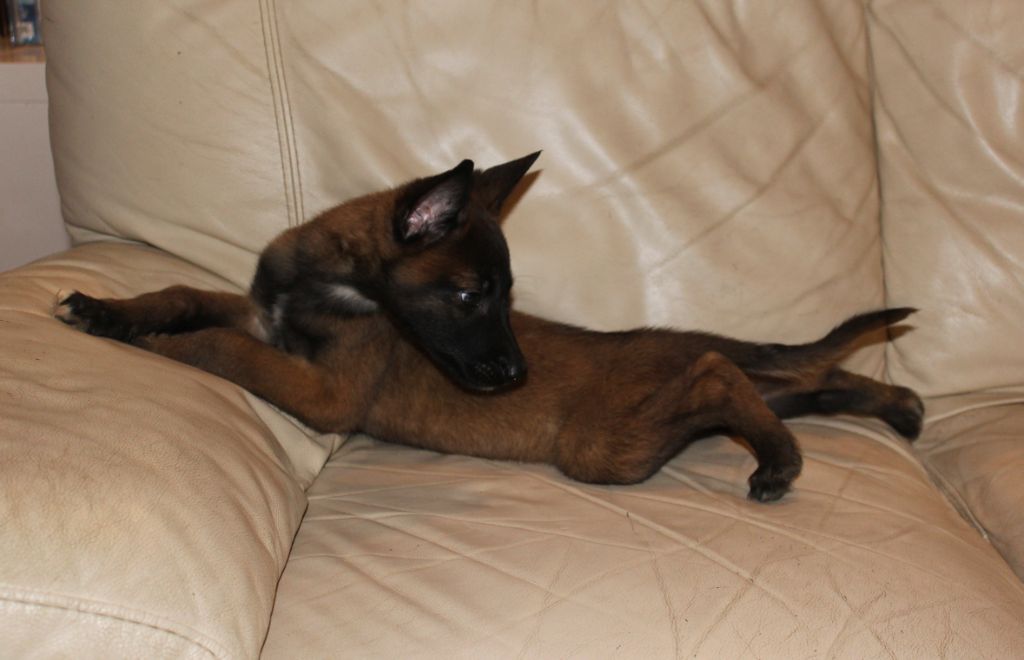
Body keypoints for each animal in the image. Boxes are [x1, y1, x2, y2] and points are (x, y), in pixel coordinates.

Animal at [57, 153, 923, 501]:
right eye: (473, 295)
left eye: (507, 296)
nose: (515, 376)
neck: (326, 284)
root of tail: (669, 339)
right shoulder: (263, 319)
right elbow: (180, 292)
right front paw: (111, 311)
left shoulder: (326, 391)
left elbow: (223, 346)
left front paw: (159, 345)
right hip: (750, 396)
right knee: (807, 378)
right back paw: (900, 406)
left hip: (605, 445)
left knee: (722, 375)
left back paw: (778, 461)